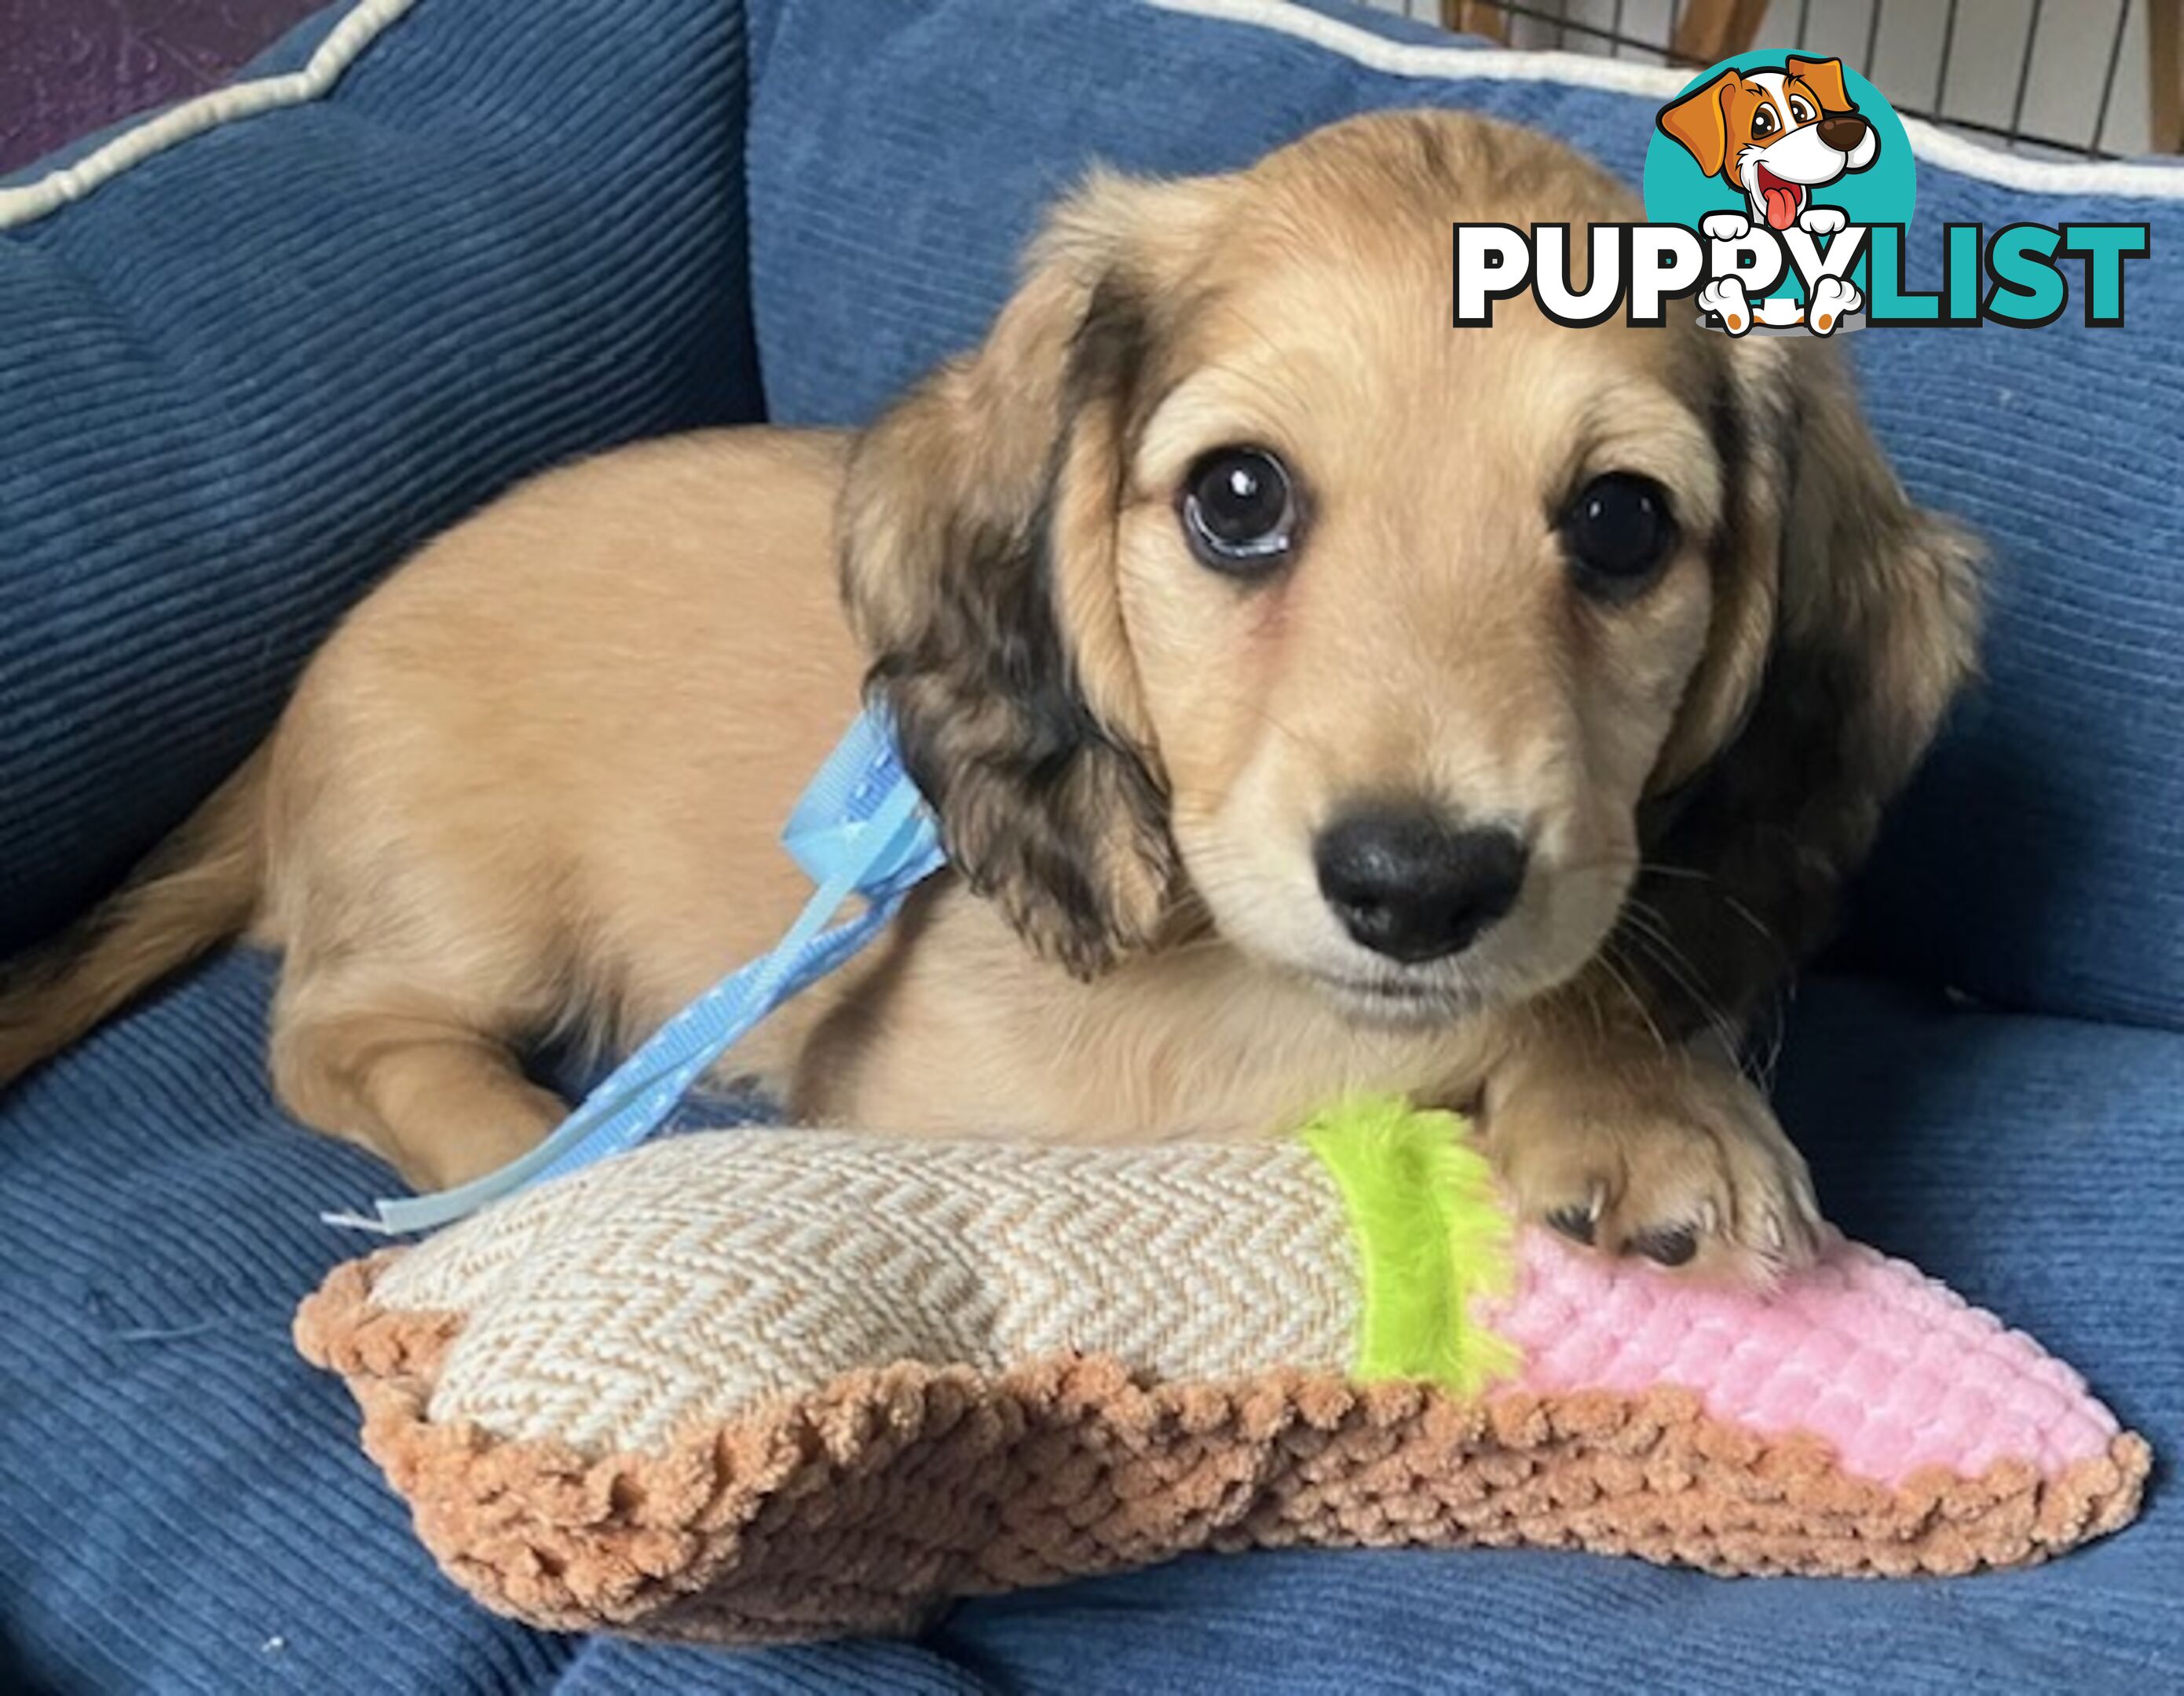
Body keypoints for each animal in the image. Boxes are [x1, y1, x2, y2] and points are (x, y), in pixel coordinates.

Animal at [0, 115, 1983, 1283]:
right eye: (1237, 499)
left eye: (1622, 523)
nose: (1416, 888)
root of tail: (293, 710)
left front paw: (1644, 1086)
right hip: (470, 914)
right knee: (337, 1039)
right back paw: (546, 1162)